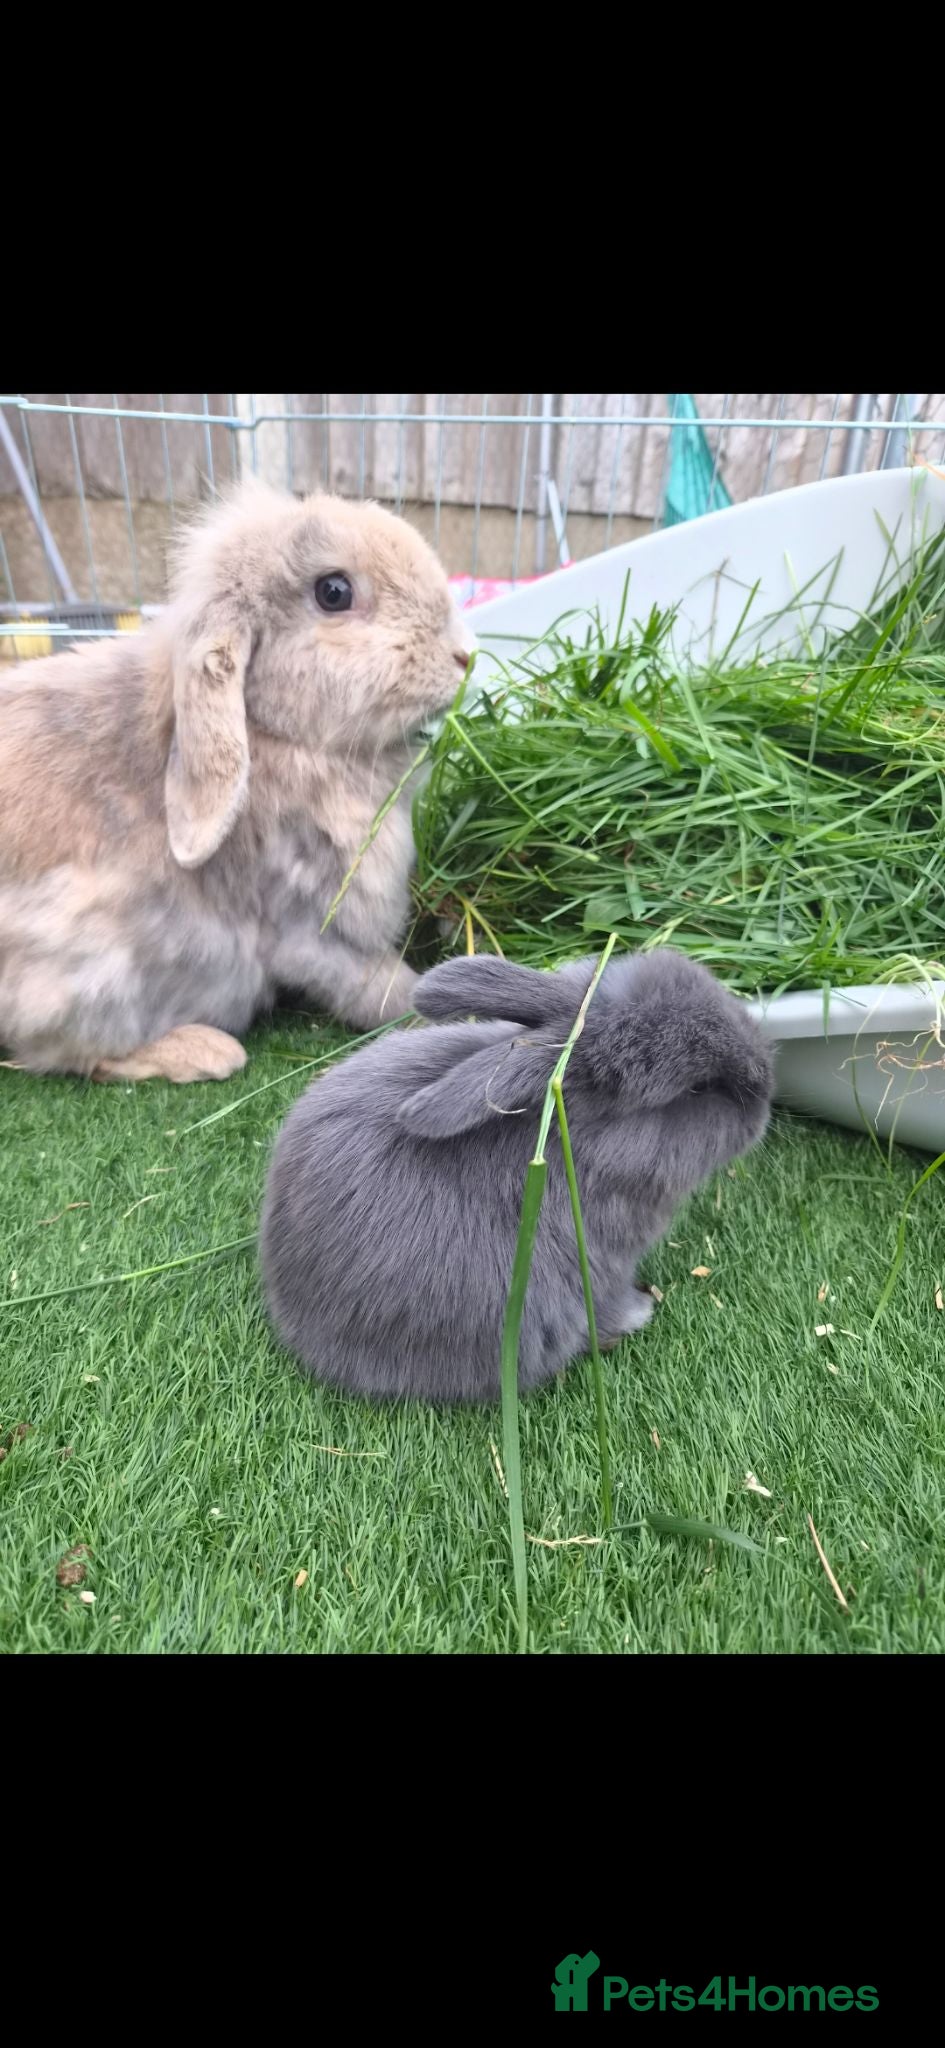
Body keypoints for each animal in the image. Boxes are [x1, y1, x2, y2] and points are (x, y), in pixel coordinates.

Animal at [0, 479, 473, 1082]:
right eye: (334, 592)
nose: (464, 654)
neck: (271, 734)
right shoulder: (307, 925)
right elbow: (382, 986)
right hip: (86, 973)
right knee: (71, 1056)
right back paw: (206, 1051)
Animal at [259, 946, 775, 1402]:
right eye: (697, 1089)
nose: (766, 1090)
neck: (581, 1145)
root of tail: (291, 1316)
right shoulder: (602, 1264)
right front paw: (640, 1313)